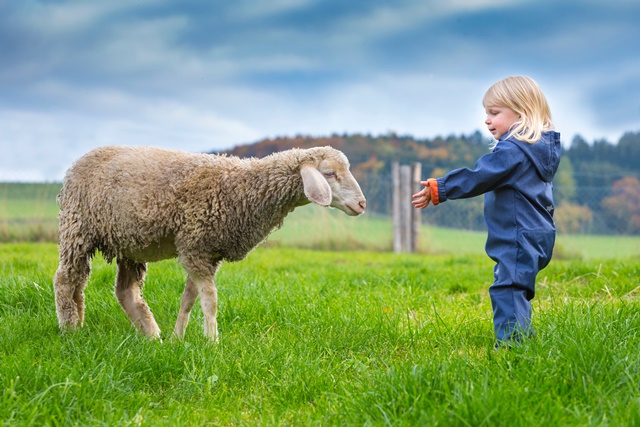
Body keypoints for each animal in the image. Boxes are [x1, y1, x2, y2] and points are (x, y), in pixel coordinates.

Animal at [53, 145, 366, 341]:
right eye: (329, 174)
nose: (362, 204)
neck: (242, 187)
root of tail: (74, 165)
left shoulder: (207, 252)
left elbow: (189, 299)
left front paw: (178, 338)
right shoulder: (195, 246)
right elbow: (210, 299)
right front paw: (212, 340)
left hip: (128, 242)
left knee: (123, 291)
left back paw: (151, 335)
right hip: (77, 228)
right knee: (66, 280)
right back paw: (70, 328)